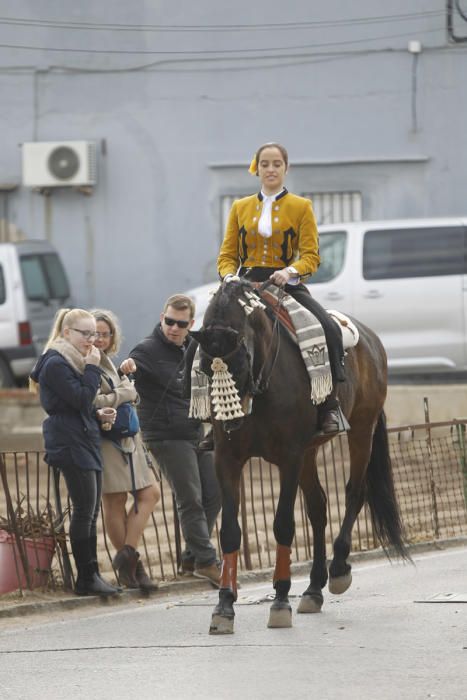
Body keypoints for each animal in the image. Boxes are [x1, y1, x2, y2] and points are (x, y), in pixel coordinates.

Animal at [190, 278, 410, 636]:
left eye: (242, 358)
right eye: (206, 368)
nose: (232, 420)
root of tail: (369, 337)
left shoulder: (289, 458)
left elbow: (283, 524)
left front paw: (280, 600)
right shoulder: (228, 460)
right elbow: (230, 531)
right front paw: (224, 605)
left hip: (361, 430)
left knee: (354, 492)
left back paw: (338, 570)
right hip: (310, 452)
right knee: (318, 507)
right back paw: (313, 589)